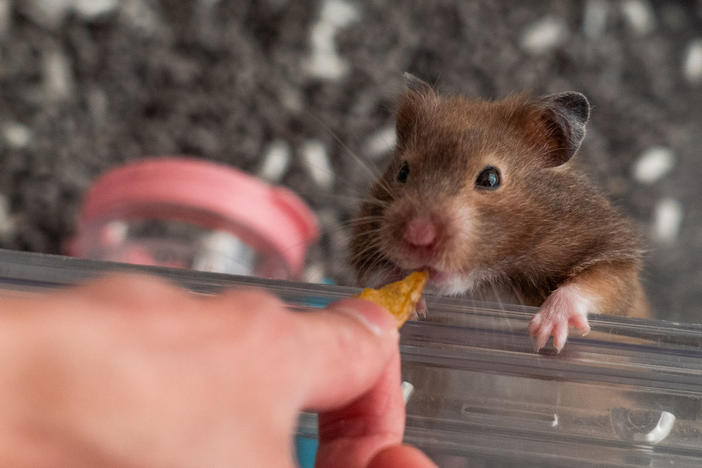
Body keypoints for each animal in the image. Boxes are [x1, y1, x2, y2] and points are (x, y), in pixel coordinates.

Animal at [350, 74, 652, 352]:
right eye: (402, 172)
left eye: (490, 179)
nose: (417, 235)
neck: (488, 280)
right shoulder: (363, 245)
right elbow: (373, 273)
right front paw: (405, 301)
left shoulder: (615, 256)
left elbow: (598, 284)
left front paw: (545, 335)